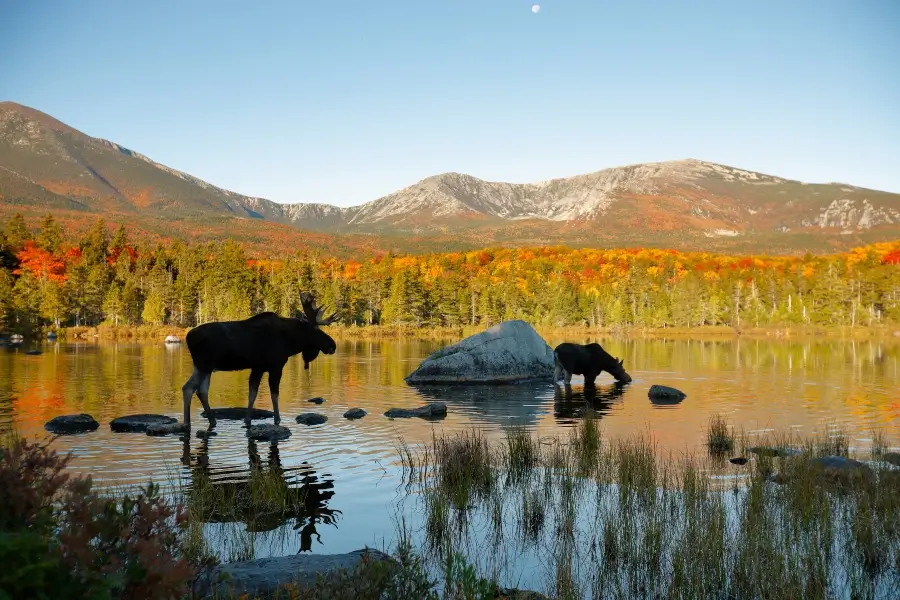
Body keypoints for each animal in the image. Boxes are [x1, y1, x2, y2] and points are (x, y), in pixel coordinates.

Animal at [181, 292, 338, 430]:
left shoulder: (258, 367)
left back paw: (212, 420)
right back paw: (187, 422)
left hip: (206, 368)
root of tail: (188, 337)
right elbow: (274, 394)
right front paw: (277, 419)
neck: (289, 343)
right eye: (315, 330)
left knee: (202, 391)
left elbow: (252, 393)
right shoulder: (275, 366)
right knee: (188, 388)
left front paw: (248, 419)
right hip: (203, 365)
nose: (333, 345)